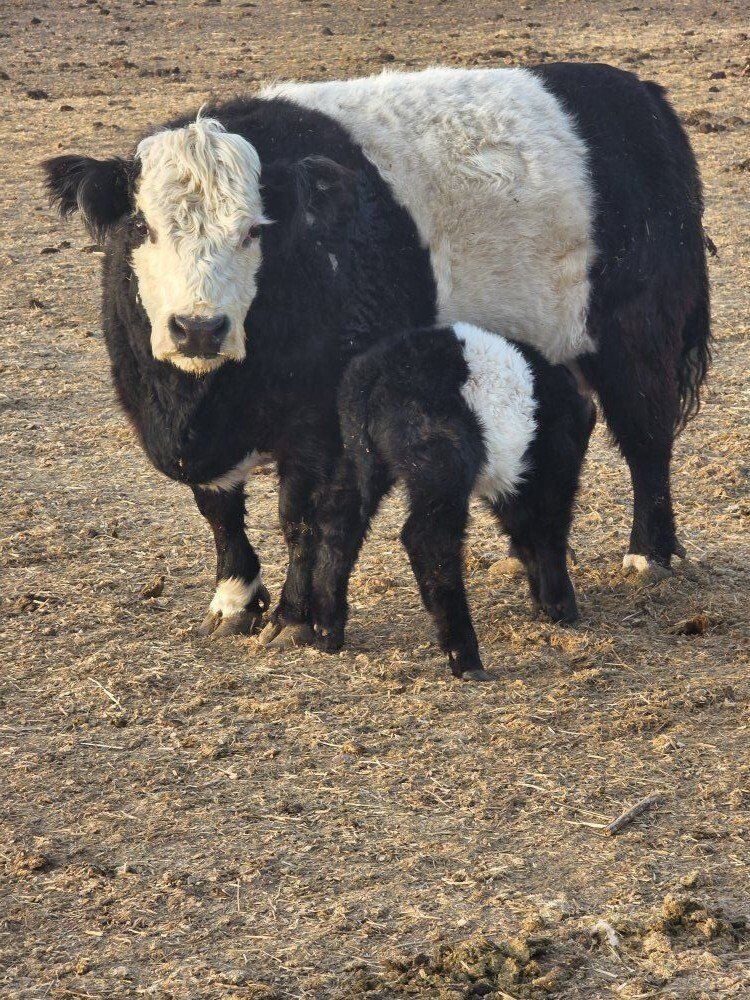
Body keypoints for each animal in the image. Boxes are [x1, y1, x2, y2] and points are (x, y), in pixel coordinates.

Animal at [43, 64, 710, 643]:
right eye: (143, 227)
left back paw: (650, 554)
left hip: (636, 340)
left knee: (646, 438)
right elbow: (219, 509)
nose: (198, 328)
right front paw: (234, 600)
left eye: (255, 230)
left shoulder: (323, 426)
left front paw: (295, 618)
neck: (201, 400)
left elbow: (303, 516)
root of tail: (639, 95)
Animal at [310, 323, 597, 679]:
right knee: (429, 539)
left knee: (339, 523)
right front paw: (560, 605)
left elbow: (524, 533)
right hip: (442, 461)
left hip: (360, 456)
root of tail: (374, 373)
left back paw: (327, 628)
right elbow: (548, 532)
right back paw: (465, 655)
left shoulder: (514, 481)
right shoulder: (554, 466)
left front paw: (545, 604)